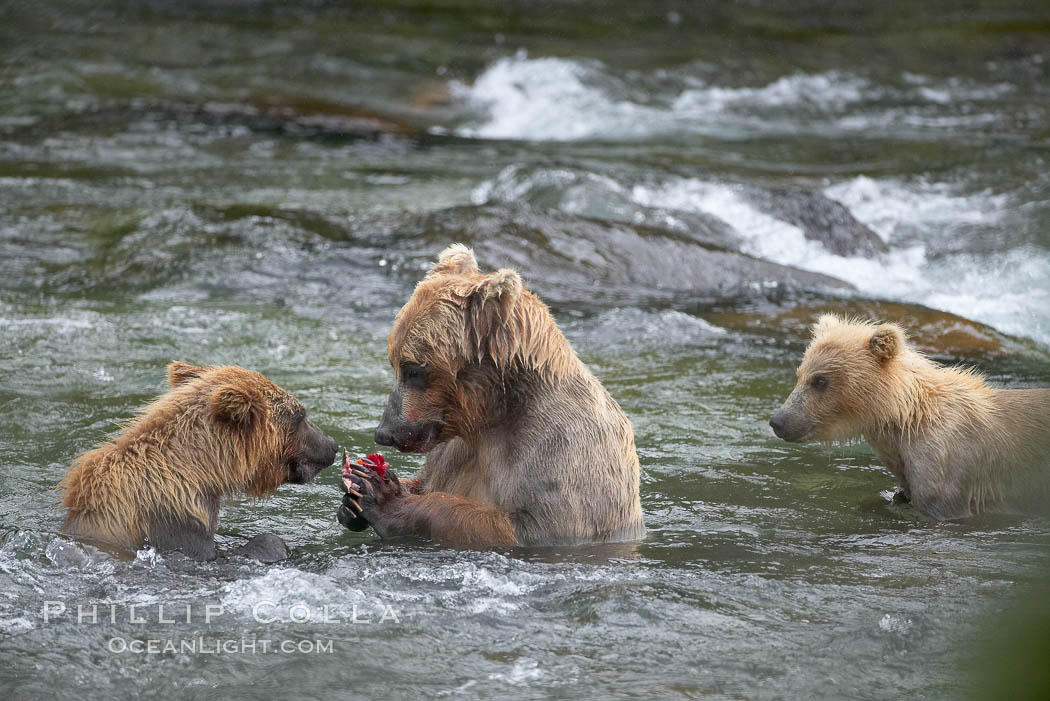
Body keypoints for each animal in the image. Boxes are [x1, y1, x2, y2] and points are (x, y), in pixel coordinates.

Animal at [340, 243, 642, 545]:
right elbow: (424, 480)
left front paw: (383, 496)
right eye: (394, 362)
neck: (494, 413)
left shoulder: (558, 450)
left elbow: (525, 525)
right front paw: (355, 495)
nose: (384, 432)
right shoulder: (453, 449)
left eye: (413, 369)